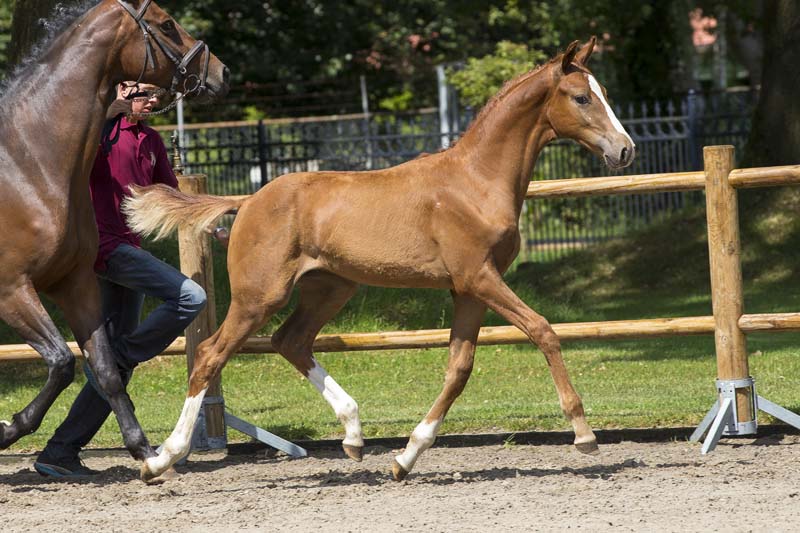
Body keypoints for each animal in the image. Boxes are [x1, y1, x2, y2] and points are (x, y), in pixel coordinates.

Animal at [0, 0, 228, 464]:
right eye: (166, 24)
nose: (221, 72)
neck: (28, 163)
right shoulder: (12, 289)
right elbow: (61, 362)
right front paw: (8, 429)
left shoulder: (75, 284)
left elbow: (103, 369)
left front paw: (145, 451)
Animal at [126, 35, 636, 480]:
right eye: (581, 97)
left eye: (605, 94)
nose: (625, 149)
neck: (476, 180)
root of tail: (248, 200)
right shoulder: (479, 277)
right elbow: (543, 330)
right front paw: (584, 433)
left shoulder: (468, 288)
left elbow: (459, 367)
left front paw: (406, 457)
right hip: (260, 295)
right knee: (211, 354)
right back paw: (161, 460)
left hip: (330, 288)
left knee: (291, 341)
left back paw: (353, 435)